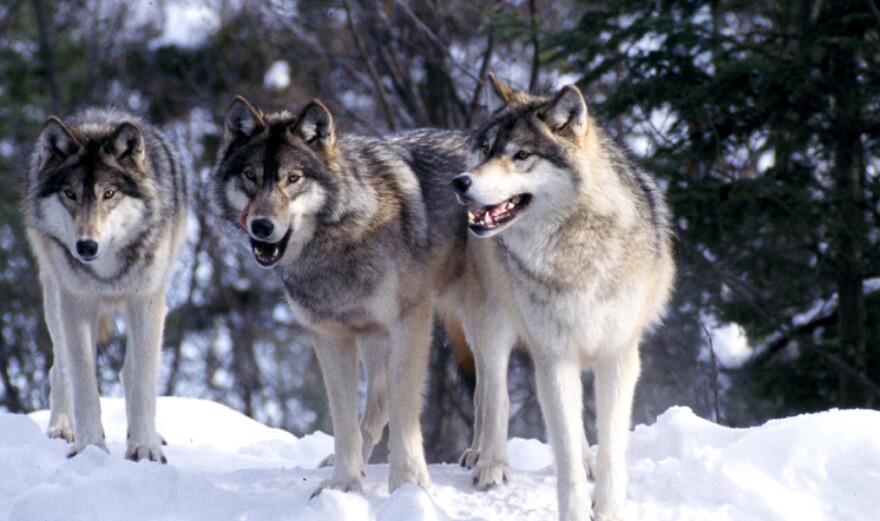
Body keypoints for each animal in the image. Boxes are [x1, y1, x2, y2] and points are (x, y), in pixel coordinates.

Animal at [23, 107, 188, 462]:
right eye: (70, 194)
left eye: (109, 194)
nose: (86, 246)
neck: (107, 271)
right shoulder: (76, 305)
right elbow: (84, 383)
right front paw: (90, 447)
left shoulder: (148, 303)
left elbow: (143, 382)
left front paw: (144, 447)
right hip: (54, 299)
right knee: (60, 368)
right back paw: (61, 428)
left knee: (131, 371)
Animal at [454, 74, 672, 520]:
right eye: (486, 150)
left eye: (521, 155)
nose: (461, 181)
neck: (575, 249)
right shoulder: (552, 356)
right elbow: (564, 455)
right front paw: (574, 510)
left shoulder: (617, 355)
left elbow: (608, 447)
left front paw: (606, 507)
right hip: (493, 326)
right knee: (493, 393)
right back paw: (489, 462)